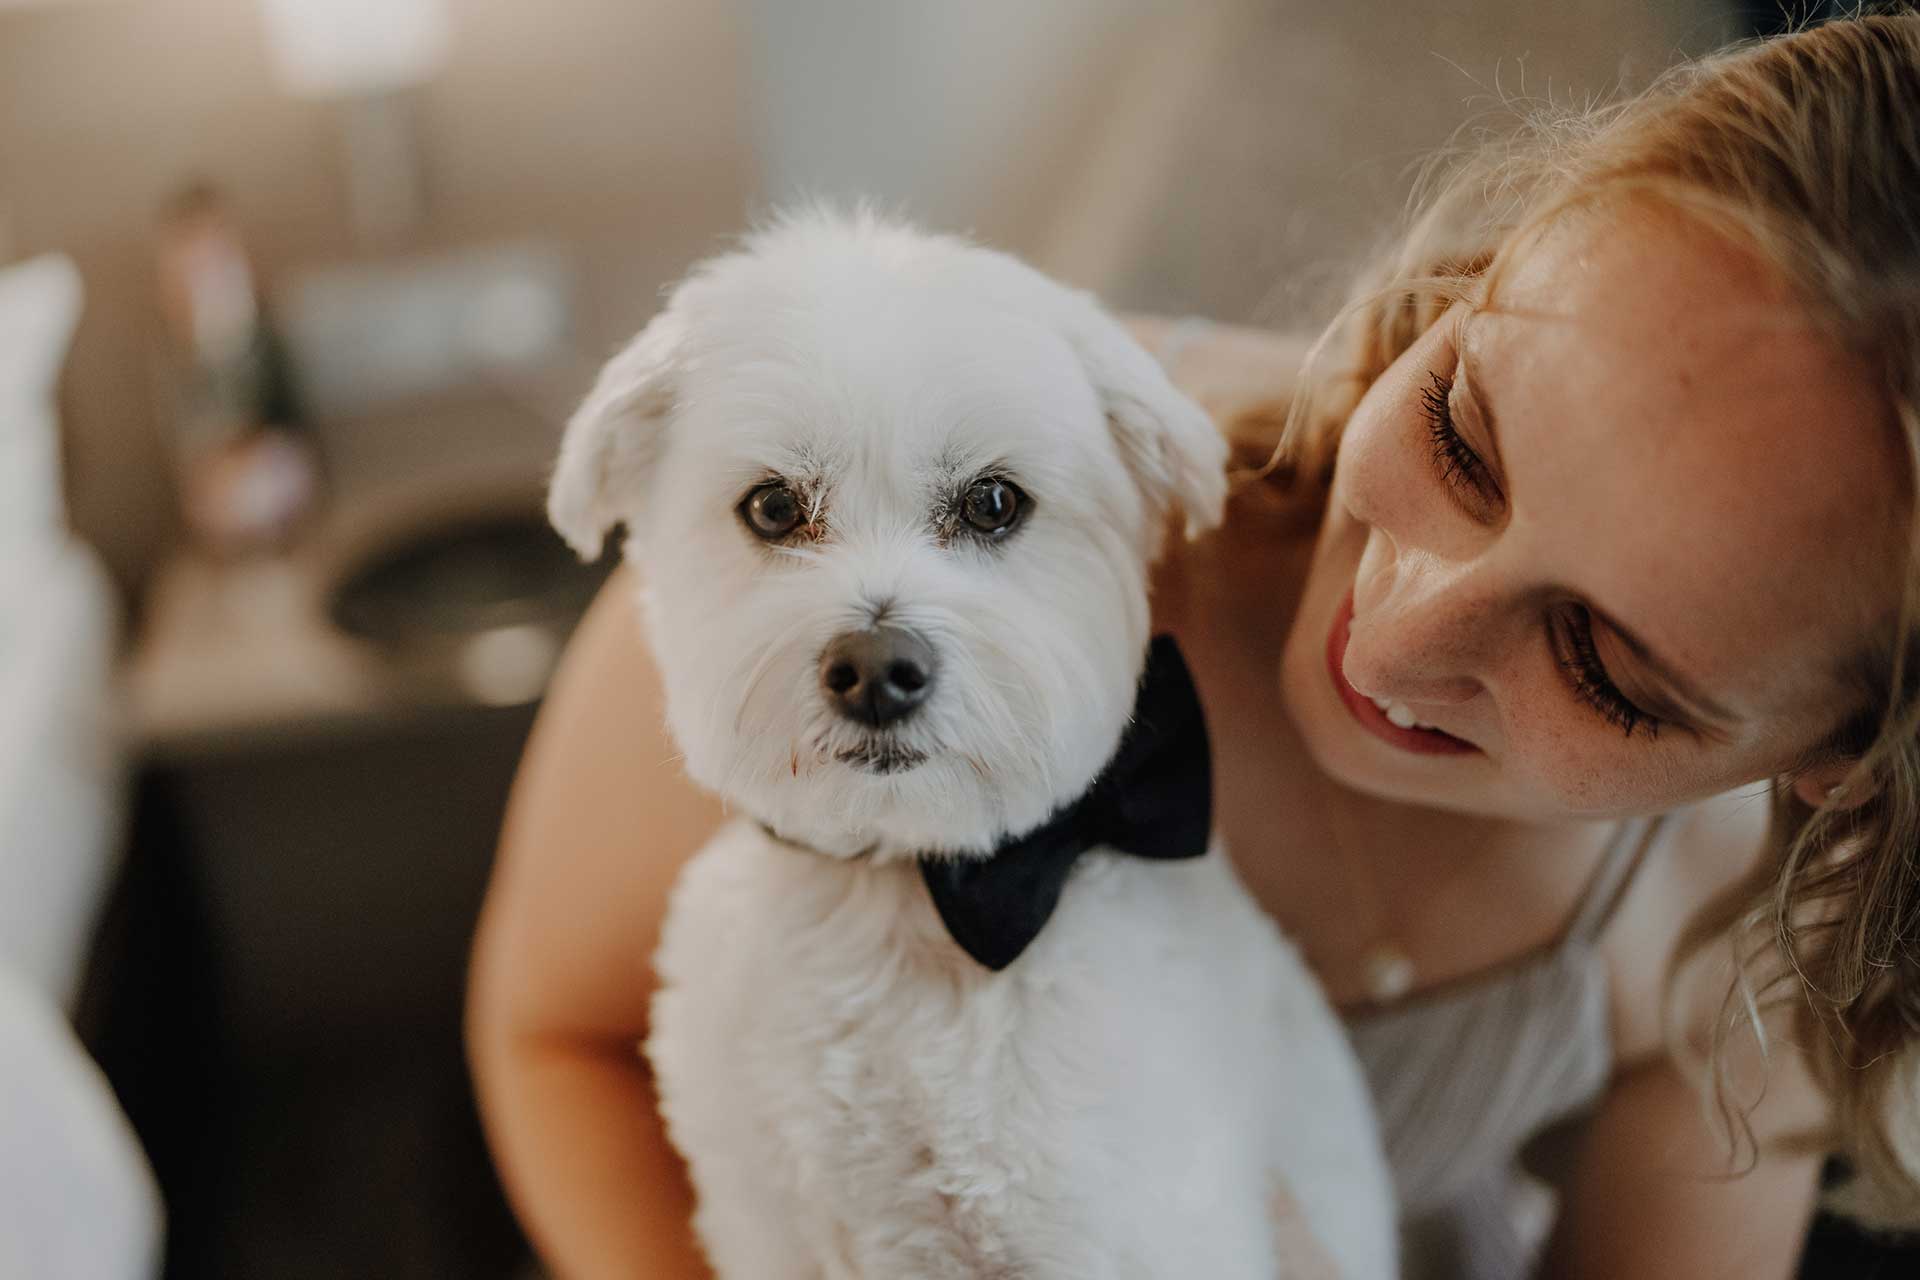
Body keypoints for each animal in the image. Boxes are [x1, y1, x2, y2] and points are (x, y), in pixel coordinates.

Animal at [549, 213, 1390, 1280]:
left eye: (994, 503)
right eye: (773, 507)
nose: (877, 670)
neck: (906, 893)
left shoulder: (1125, 1232)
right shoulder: (762, 1224)